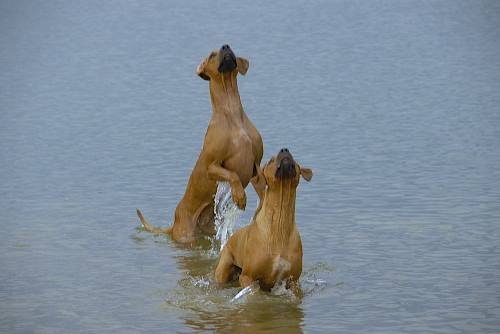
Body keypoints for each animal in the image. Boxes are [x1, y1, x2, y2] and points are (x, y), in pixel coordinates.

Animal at [135, 45, 264, 243]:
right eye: (212, 55)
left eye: (228, 47)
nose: (225, 46)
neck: (232, 113)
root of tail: (175, 221)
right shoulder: (212, 166)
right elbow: (233, 175)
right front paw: (239, 196)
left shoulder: (255, 162)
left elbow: (262, 182)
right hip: (185, 234)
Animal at [215, 149, 312, 292]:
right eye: (271, 161)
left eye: (293, 157)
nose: (285, 150)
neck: (280, 223)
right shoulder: (248, 278)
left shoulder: (294, 280)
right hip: (223, 270)